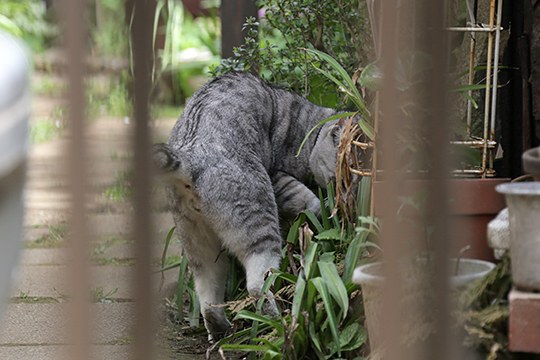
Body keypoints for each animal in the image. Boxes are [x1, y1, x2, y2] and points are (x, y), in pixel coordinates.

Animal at [154, 71, 344, 342]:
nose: (341, 193)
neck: (309, 124)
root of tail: (192, 158)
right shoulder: (277, 174)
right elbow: (305, 198)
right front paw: (321, 208)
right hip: (259, 220)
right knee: (256, 286)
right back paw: (278, 323)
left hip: (197, 243)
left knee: (207, 296)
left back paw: (220, 330)